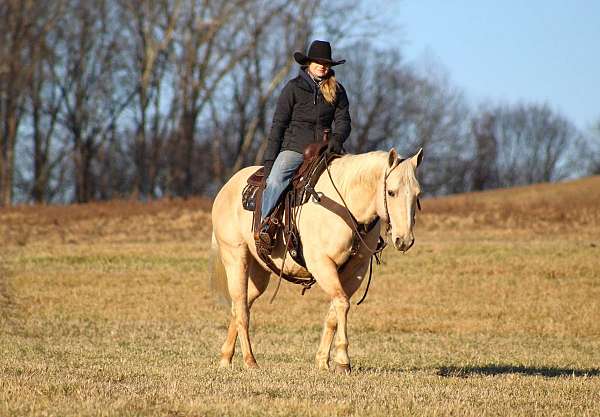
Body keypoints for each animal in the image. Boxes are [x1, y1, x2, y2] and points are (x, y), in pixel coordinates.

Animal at [210, 148, 422, 372]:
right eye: (391, 192)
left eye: (418, 194)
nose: (404, 240)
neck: (345, 205)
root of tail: (226, 188)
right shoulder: (322, 264)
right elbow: (341, 303)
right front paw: (343, 359)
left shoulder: (355, 270)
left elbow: (334, 311)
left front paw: (323, 361)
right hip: (235, 258)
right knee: (241, 308)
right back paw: (250, 361)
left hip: (259, 272)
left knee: (240, 305)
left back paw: (226, 358)